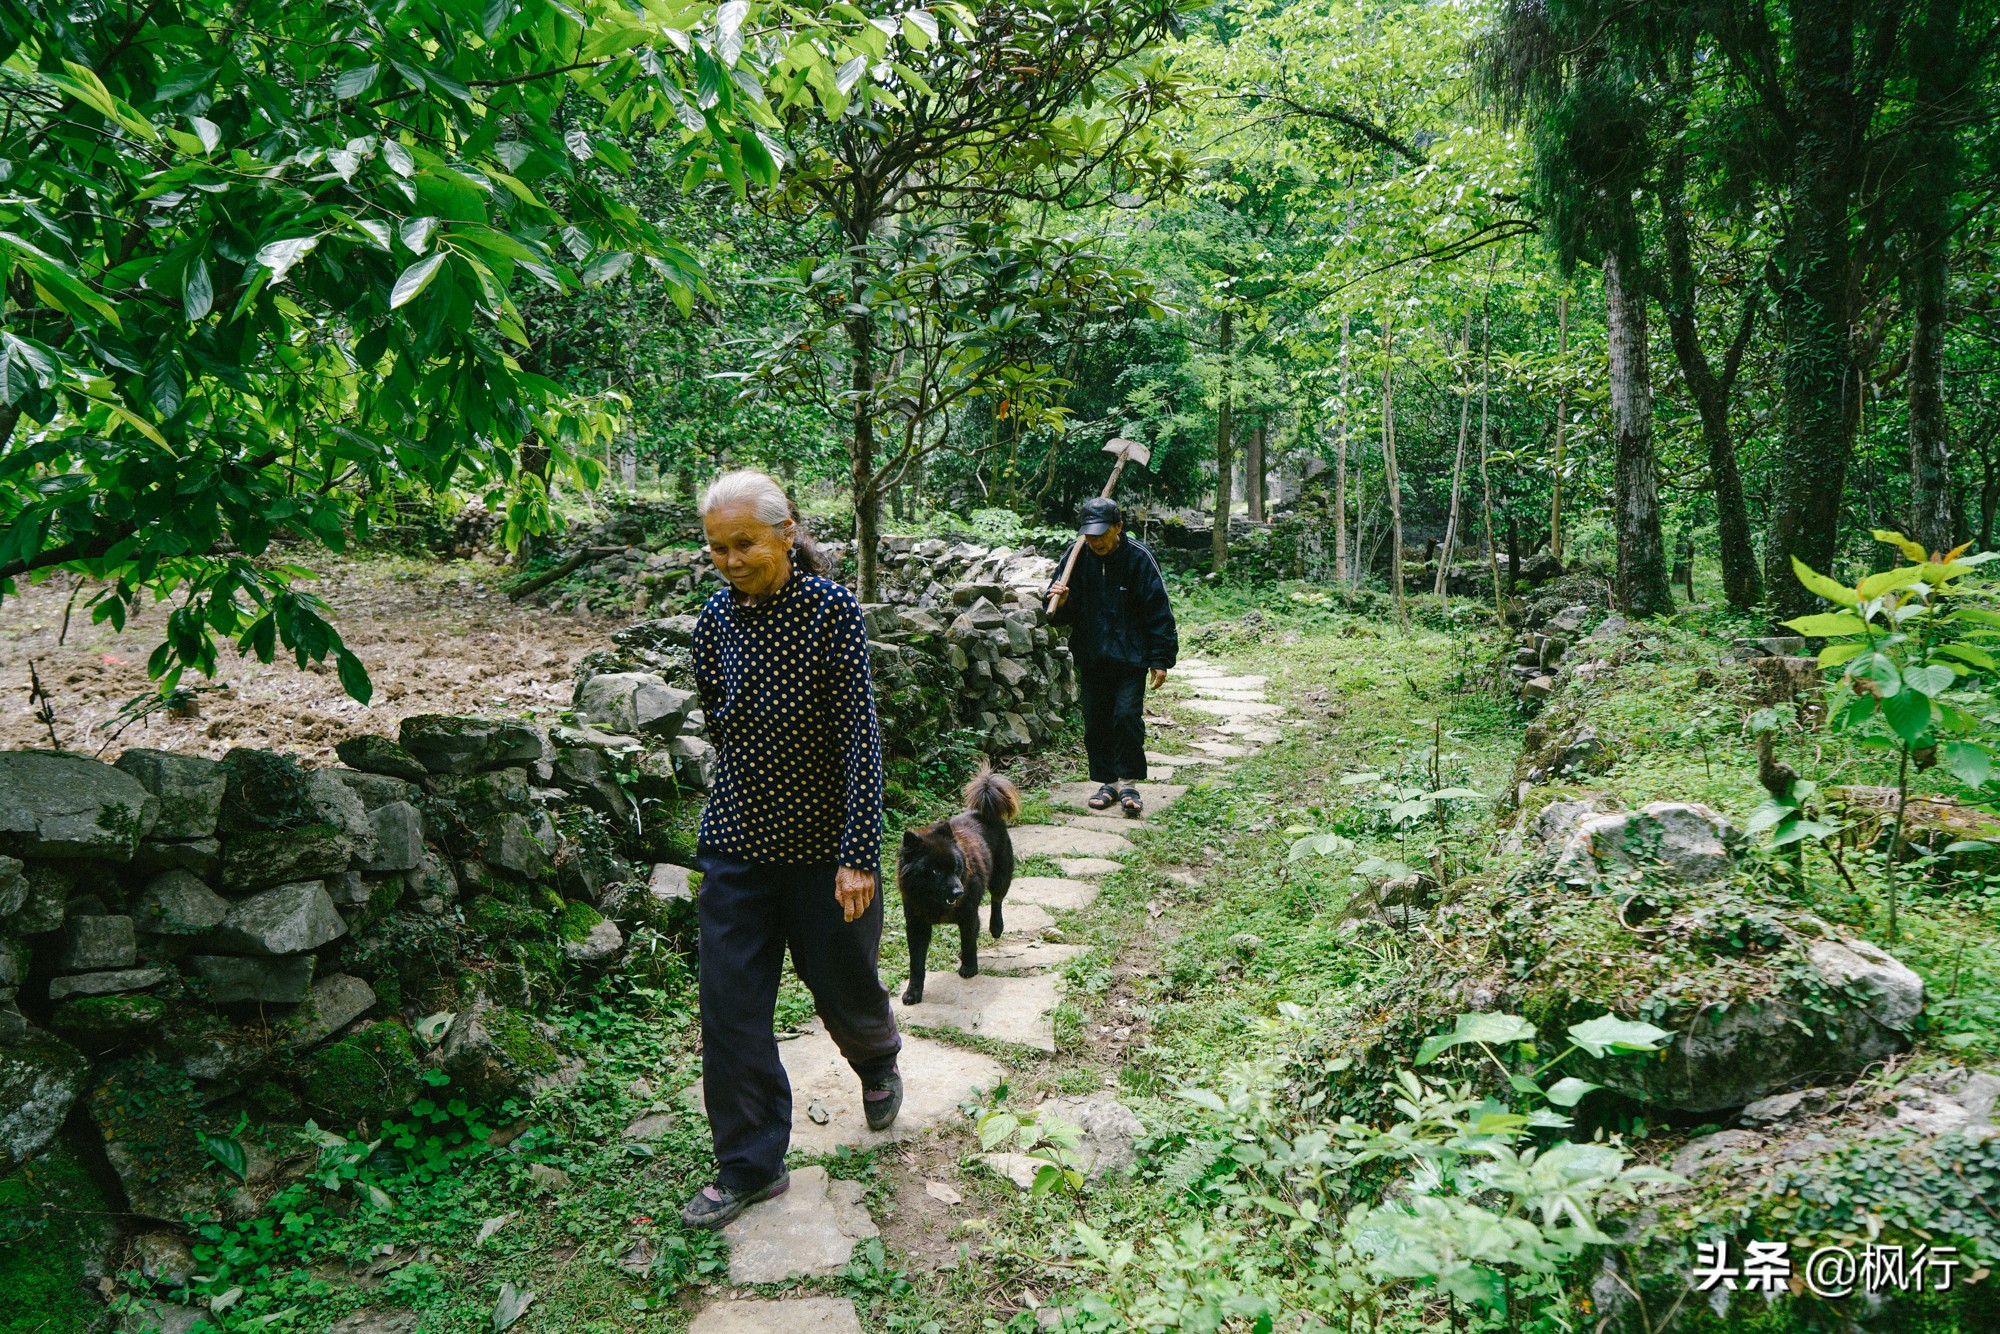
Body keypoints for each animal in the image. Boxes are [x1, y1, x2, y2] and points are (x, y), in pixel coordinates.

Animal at [896, 768, 1016, 1008]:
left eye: (956, 867)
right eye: (934, 871)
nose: (958, 892)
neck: (935, 903)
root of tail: (983, 812)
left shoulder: (969, 915)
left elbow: (969, 941)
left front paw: (969, 967)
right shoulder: (916, 924)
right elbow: (916, 964)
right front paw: (913, 992)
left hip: (1001, 877)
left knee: (997, 900)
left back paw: (996, 927)